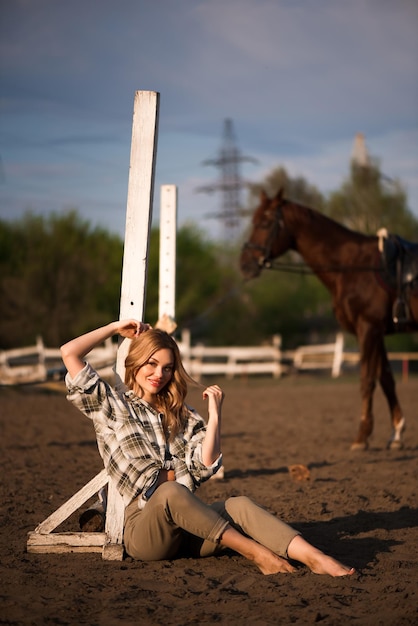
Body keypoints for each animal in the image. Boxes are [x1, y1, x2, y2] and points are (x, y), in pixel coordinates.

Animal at [238, 189, 418, 448]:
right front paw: (396, 433)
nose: (245, 264)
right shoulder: (377, 332)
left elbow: (367, 380)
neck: (353, 266)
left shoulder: (368, 328)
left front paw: (362, 436)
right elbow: (386, 379)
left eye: (265, 223)